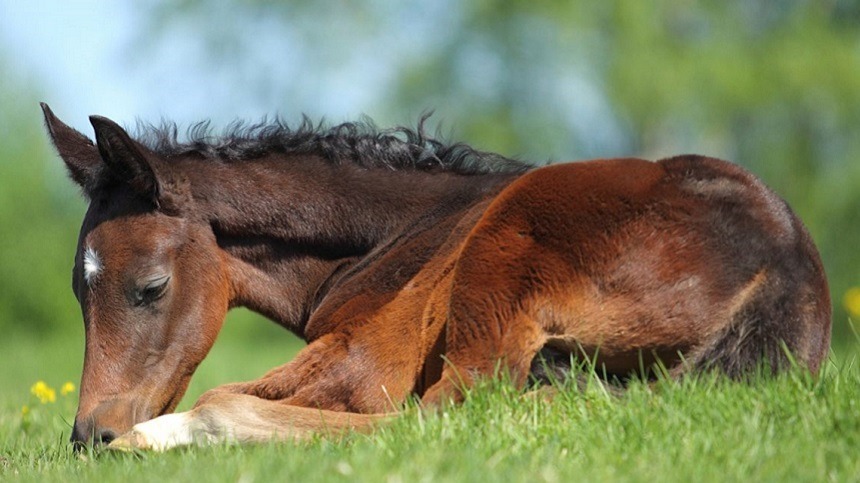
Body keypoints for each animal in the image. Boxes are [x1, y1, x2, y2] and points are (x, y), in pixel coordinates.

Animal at [42, 104, 832, 452]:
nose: (89, 434)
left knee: (449, 412)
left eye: (150, 287)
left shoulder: (367, 355)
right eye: (79, 291)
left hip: (499, 268)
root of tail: (788, 256)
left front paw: (155, 435)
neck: (393, 236)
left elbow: (226, 395)